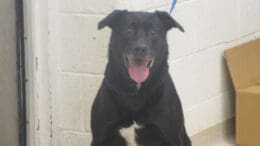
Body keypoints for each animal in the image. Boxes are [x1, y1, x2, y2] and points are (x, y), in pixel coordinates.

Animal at [91, 10, 191, 146]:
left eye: (153, 31)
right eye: (128, 30)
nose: (140, 48)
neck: (136, 92)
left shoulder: (172, 137)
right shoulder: (100, 137)